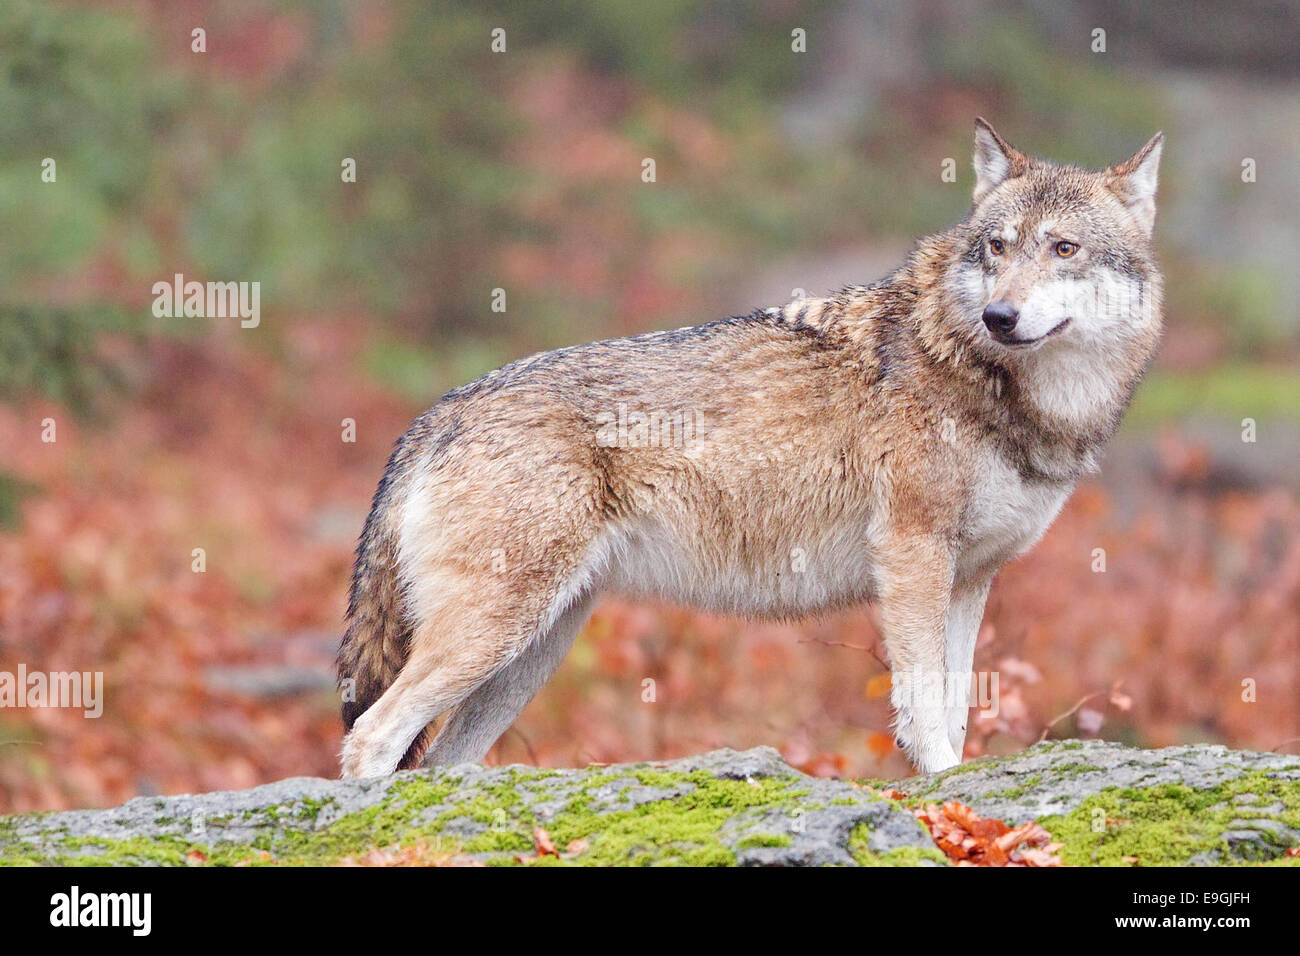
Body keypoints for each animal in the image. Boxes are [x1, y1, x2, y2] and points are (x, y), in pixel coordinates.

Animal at [338, 119, 1170, 780]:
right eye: (996, 247)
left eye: (1064, 248)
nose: (1000, 315)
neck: (993, 382)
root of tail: (434, 414)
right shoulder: (912, 555)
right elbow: (924, 707)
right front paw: (940, 786)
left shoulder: (970, 578)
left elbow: (960, 704)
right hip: (497, 634)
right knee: (371, 739)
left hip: (528, 654)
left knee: (438, 761)